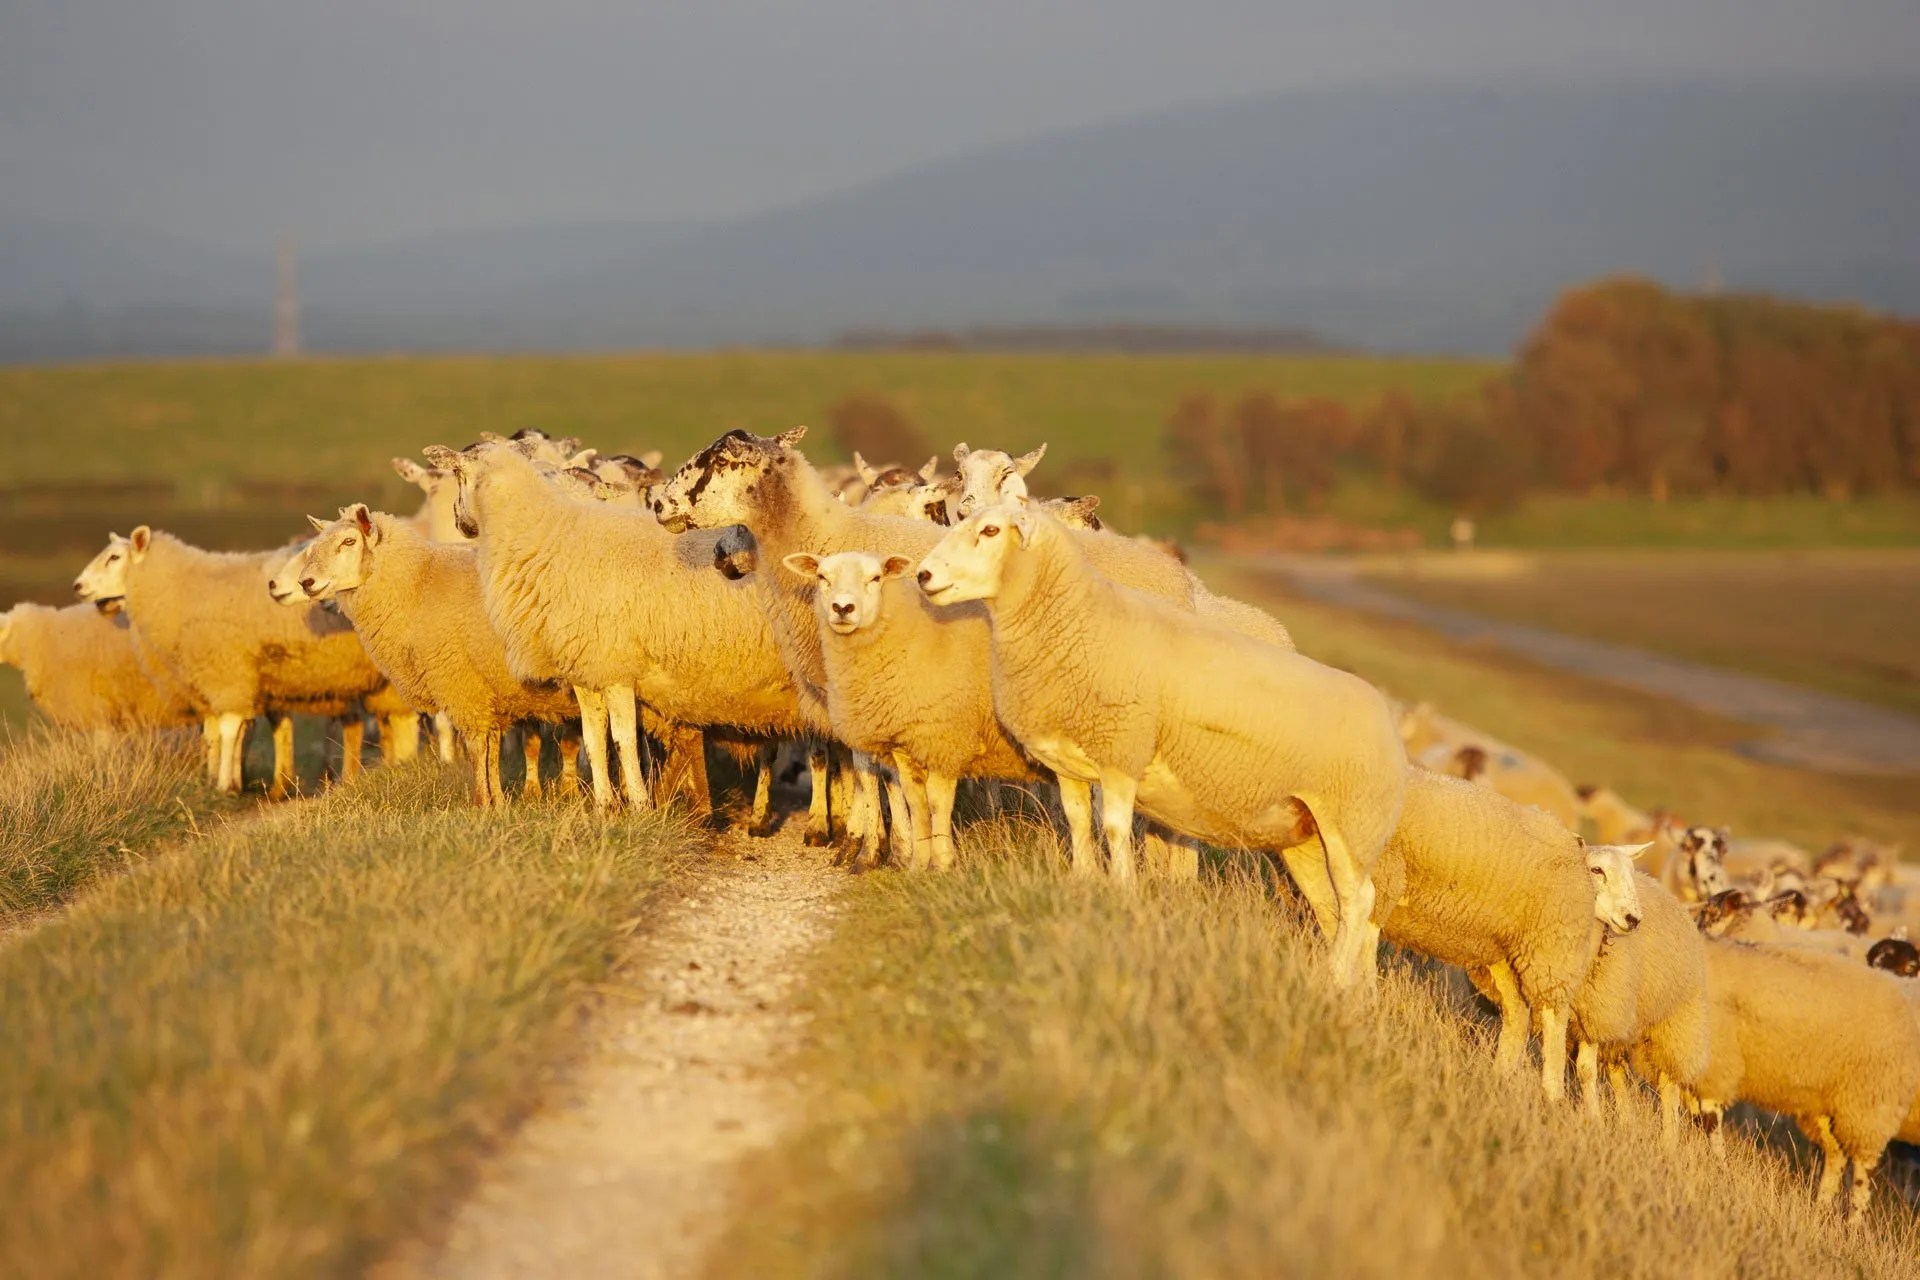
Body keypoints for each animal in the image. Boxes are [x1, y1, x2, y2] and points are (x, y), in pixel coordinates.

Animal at [74, 527, 396, 795]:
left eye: (114, 557)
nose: (77, 586)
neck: (181, 588)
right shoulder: (218, 683)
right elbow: (216, 733)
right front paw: (220, 778)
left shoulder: (227, 676)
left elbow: (229, 731)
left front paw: (223, 785)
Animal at [277, 505, 579, 807]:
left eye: (349, 541)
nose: (306, 582)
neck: (420, 584)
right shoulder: (488, 692)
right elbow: (492, 750)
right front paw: (498, 803)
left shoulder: (462, 685)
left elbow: (477, 748)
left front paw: (481, 804)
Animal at [423, 440, 805, 832]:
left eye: (457, 472)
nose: (460, 520)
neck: (548, 535)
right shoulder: (588, 671)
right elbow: (594, 739)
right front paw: (605, 806)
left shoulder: (616, 669)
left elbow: (622, 740)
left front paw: (637, 805)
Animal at [914, 501, 1407, 987]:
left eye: (991, 531)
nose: (922, 575)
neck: (1077, 621)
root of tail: (1386, 718)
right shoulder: (1069, 760)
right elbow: (1077, 821)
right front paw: (1083, 881)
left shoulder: (1122, 752)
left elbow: (1113, 827)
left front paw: (1122, 890)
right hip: (1304, 831)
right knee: (1332, 904)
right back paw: (1347, 983)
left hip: (1352, 821)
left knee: (1359, 900)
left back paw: (1336, 975)